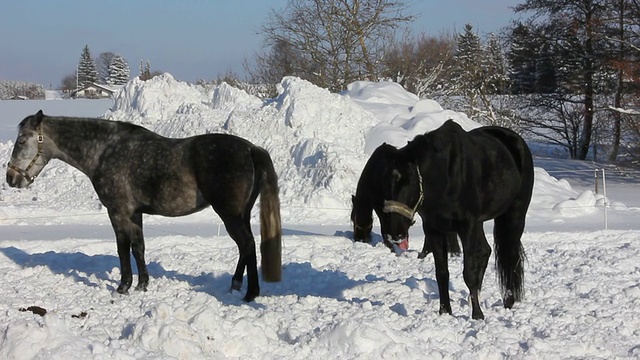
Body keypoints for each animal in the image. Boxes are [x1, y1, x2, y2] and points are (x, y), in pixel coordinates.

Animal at [5, 109, 280, 300]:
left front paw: (123, 286)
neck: (104, 151)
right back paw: (236, 285)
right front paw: (142, 284)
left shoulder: (117, 212)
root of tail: (251, 149)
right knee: (245, 247)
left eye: (21, 141)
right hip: (241, 214)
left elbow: (122, 248)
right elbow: (139, 247)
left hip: (230, 215)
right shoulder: (135, 214)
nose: (11, 178)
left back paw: (250, 293)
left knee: (247, 245)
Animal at [382, 120, 532, 318]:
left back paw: (508, 300)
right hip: (480, 223)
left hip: (514, 214)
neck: (446, 178)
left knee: (510, 255)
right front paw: (445, 312)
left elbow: (468, 272)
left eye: (409, 180)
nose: (395, 234)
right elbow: (442, 273)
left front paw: (477, 315)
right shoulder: (434, 228)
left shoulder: (466, 226)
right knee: (485, 251)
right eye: (385, 182)